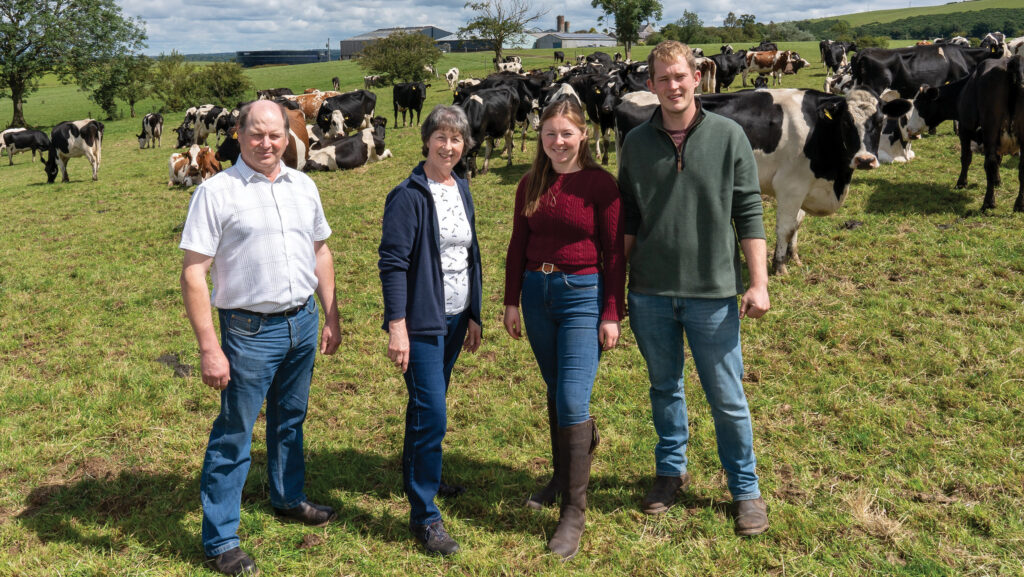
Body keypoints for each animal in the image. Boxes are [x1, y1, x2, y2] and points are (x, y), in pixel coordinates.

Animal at [700, 88, 917, 272]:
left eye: (880, 121)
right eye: (846, 122)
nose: (864, 160)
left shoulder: (804, 186)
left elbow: (797, 223)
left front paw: (793, 257)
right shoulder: (790, 187)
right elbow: (786, 228)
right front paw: (780, 267)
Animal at [950, 53, 1024, 212]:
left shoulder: (965, 129)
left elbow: (966, 157)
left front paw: (961, 182)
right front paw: (997, 181)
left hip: (990, 127)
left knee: (989, 162)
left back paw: (988, 202)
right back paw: (1019, 205)